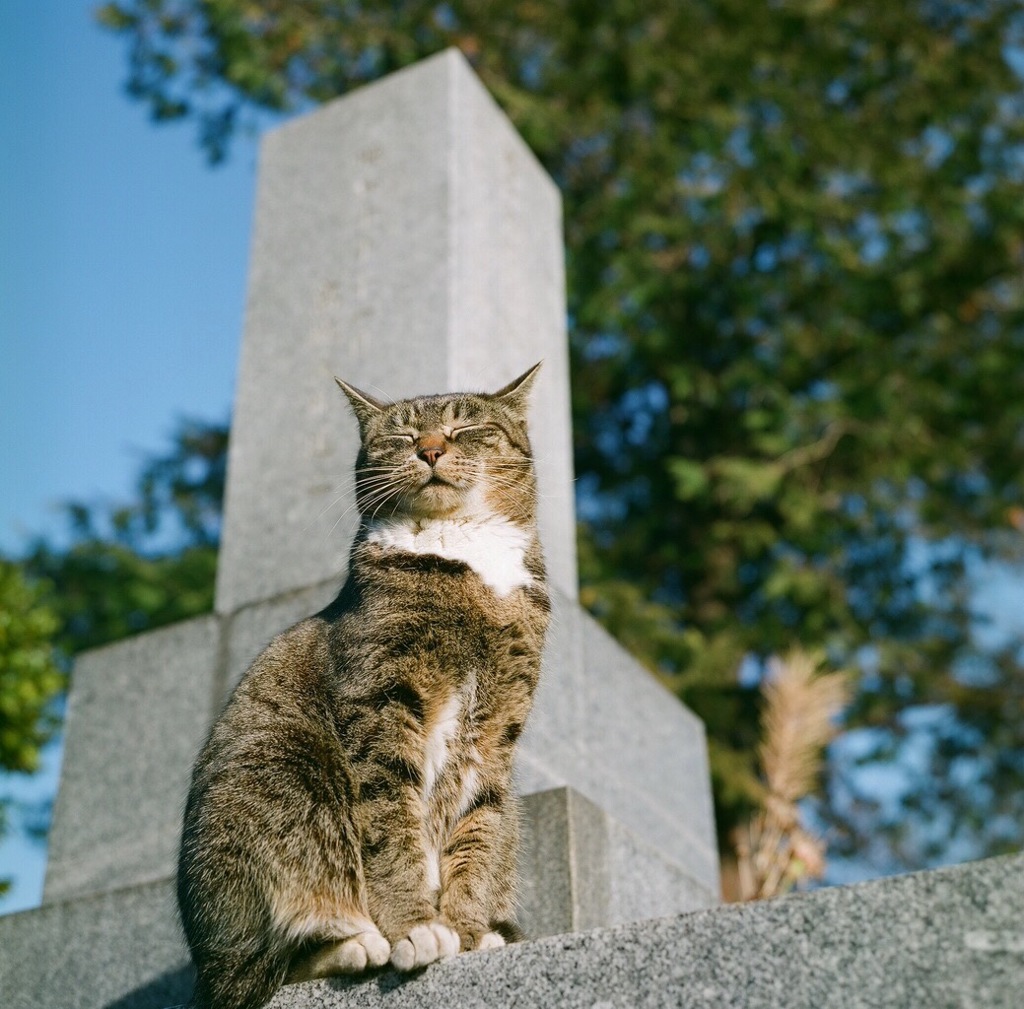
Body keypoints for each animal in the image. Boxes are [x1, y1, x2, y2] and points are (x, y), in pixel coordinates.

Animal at [174, 364, 552, 1007]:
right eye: (401, 437)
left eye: (465, 427)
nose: (431, 448)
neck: (470, 562)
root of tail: (205, 968)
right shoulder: (380, 705)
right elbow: (392, 826)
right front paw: (417, 927)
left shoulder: (498, 729)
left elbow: (478, 829)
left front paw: (465, 929)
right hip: (287, 772)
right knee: (271, 963)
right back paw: (357, 943)